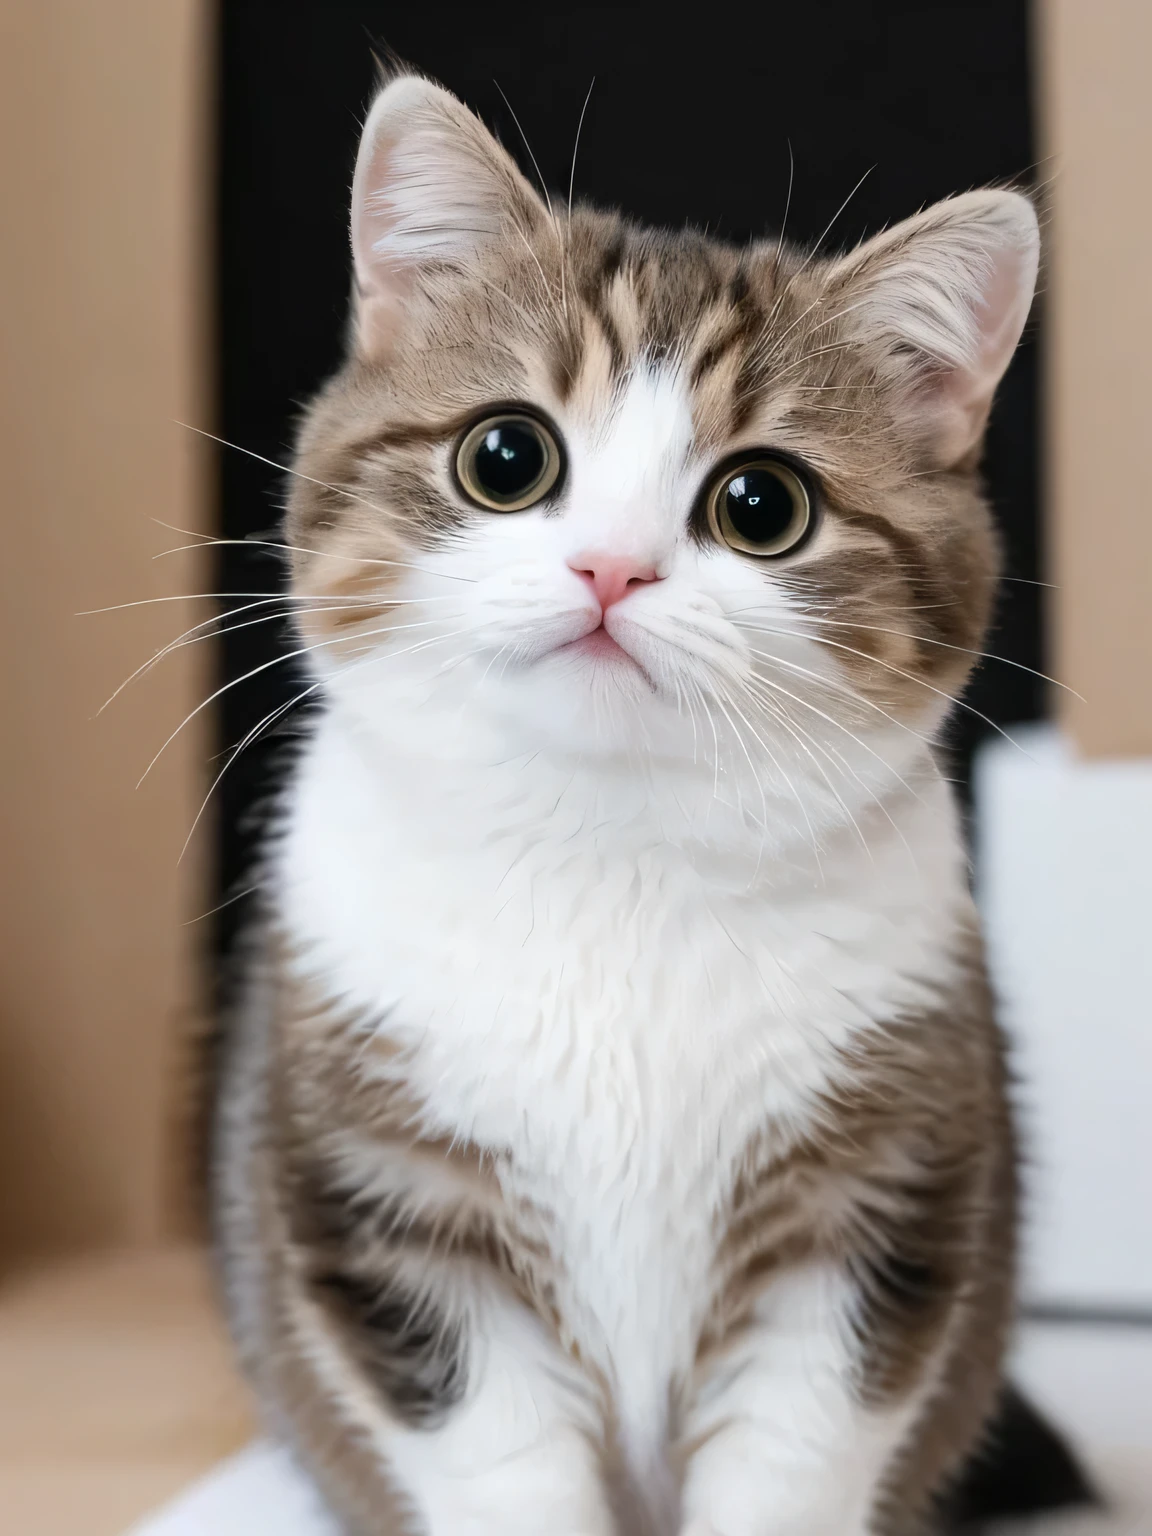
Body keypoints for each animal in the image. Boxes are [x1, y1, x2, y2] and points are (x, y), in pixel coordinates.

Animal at [211, 72, 1044, 1536]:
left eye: (762, 504)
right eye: (505, 458)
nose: (610, 568)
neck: (614, 851)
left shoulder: (865, 1214)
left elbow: (796, 1450)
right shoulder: (395, 1214)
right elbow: (496, 1454)